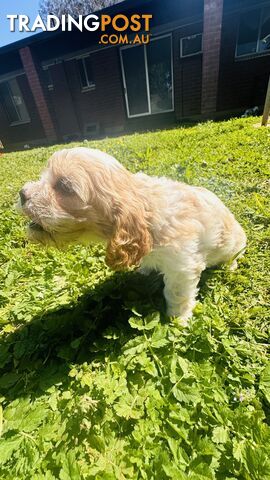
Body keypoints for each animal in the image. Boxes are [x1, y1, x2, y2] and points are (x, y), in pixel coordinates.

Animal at [18, 146, 247, 322]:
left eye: (64, 187)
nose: (22, 193)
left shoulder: (182, 265)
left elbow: (176, 293)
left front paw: (177, 320)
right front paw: (144, 269)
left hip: (235, 244)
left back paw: (230, 266)